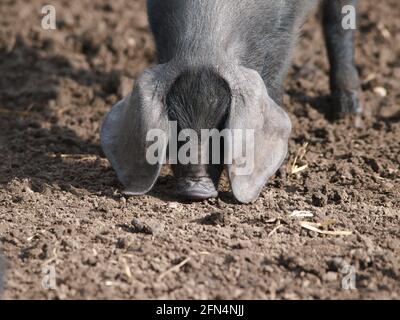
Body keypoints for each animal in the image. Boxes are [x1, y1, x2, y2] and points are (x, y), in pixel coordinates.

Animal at [101, 0, 362, 204]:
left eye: (221, 127)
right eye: (175, 126)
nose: (195, 190)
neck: (203, 46)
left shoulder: (284, 32)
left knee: (339, 23)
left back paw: (349, 111)